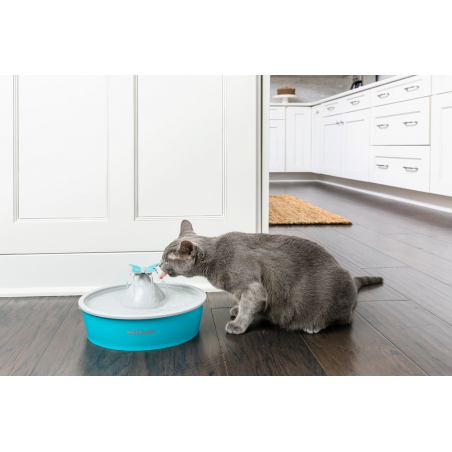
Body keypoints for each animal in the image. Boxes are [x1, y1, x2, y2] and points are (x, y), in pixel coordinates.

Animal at [161, 221, 384, 334]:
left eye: (166, 258)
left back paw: (313, 326)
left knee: (345, 319)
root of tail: (349, 277)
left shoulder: (252, 286)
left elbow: (248, 306)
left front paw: (238, 325)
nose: (159, 264)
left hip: (332, 296)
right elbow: (243, 303)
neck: (215, 258)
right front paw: (236, 309)